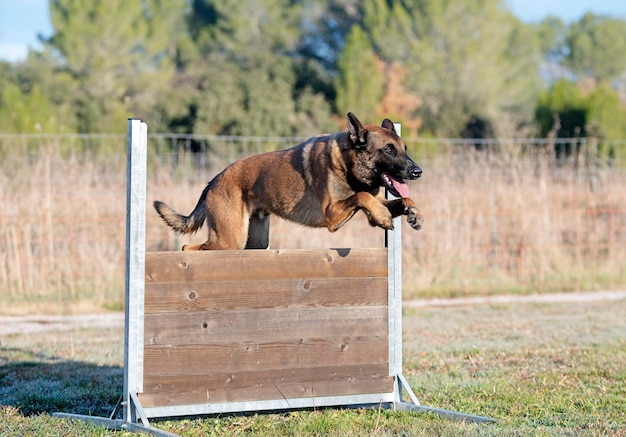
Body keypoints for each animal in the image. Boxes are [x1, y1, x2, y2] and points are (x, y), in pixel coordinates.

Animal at [154, 112, 422, 249]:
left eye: (404, 148)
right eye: (388, 150)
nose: (417, 171)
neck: (347, 164)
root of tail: (214, 179)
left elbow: (401, 199)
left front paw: (413, 212)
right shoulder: (332, 214)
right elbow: (362, 196)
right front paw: (383, 217)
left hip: (254, 242)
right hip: (229, 240)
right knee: (189, 248)